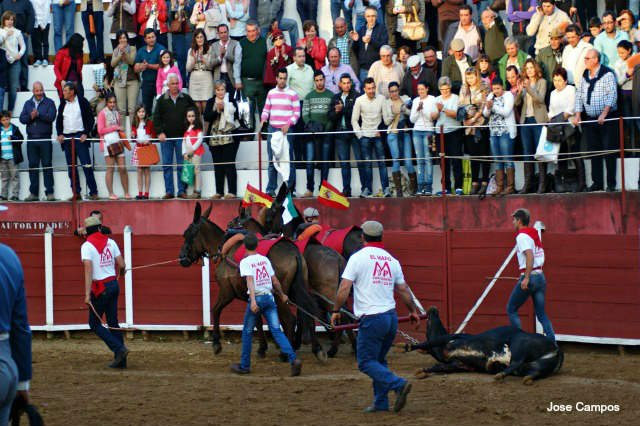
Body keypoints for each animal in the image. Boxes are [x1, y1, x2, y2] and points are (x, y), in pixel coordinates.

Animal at [180, 203, 330, 360]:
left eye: (186, 234)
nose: (182, 257)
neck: (224, 249)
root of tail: (294, 253)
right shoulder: (252, 296)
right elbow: (257, 320)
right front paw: (262, 347)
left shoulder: (227, 291)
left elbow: (216, 310)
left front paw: (216, 343)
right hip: (299, 290)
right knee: (308, 314)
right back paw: (317, 349)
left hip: (280, 295)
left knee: (289, 320)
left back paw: (286, 353)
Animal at [404, 304, 564, 384]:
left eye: (430, 324)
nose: (433, 309)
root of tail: (556, 347)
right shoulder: (460, 364)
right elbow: (439, 367)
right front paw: (422, 371)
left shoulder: (457, 336)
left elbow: (428, 342)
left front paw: (408, 347)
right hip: (541, 365)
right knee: (534, 372)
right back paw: (523, 378)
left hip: (519, 345)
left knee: (516, 363)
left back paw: (499, 374)